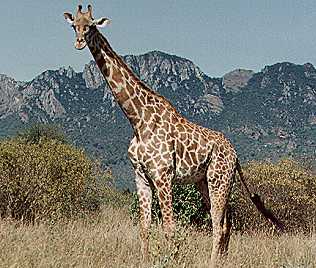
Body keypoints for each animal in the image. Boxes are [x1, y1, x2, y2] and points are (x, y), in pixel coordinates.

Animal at [63, 5, 282, 266]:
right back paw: (223, 260)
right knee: (227, 224)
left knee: (218, 225)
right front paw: (145, 260)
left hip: (219, 180)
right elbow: (144, 227)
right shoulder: (141, 176)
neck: (138, 121)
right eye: (74, 25)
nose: (78, 42)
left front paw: (172, 259)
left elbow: (169, 227)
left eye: (90, 25)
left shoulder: (163, 175)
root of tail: (236, 155)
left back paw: (212, 262)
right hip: (206, 182)